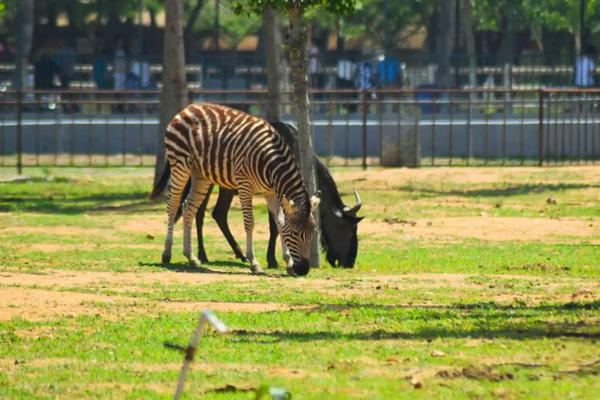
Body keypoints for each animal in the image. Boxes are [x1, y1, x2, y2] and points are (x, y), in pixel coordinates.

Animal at [149, 104, 318, 276]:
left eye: (313, 233)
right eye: (295, 233)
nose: (303, 270)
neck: (271, 163)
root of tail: (189, 107)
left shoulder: (270, 192)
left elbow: (280, 222)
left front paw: (288, 263)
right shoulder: (245, 186)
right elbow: (250, 223)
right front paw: (254, 263)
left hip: (200, 174)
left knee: (188, 208)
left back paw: (191, 257)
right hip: (180, 164)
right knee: (173, 205)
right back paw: (167, 254)